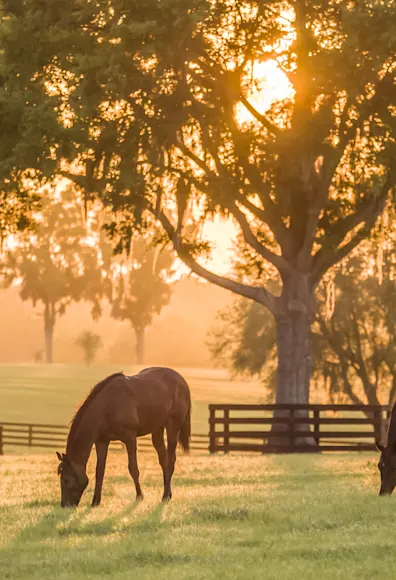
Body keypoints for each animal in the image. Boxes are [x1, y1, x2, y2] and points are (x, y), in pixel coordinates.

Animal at [56, 368, 191, 508]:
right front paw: (96, 501)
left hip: (172, 427)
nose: (64, 505)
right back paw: (167, 494)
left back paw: (165, 497)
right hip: (157, 429)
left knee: (171, 460)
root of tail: (181, 380)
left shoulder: (130, 438)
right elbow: (100, 471)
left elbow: (133, 468)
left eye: (66, 480)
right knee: (164, 460)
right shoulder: (102, 441)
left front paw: (139, 496)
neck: (107, 406)